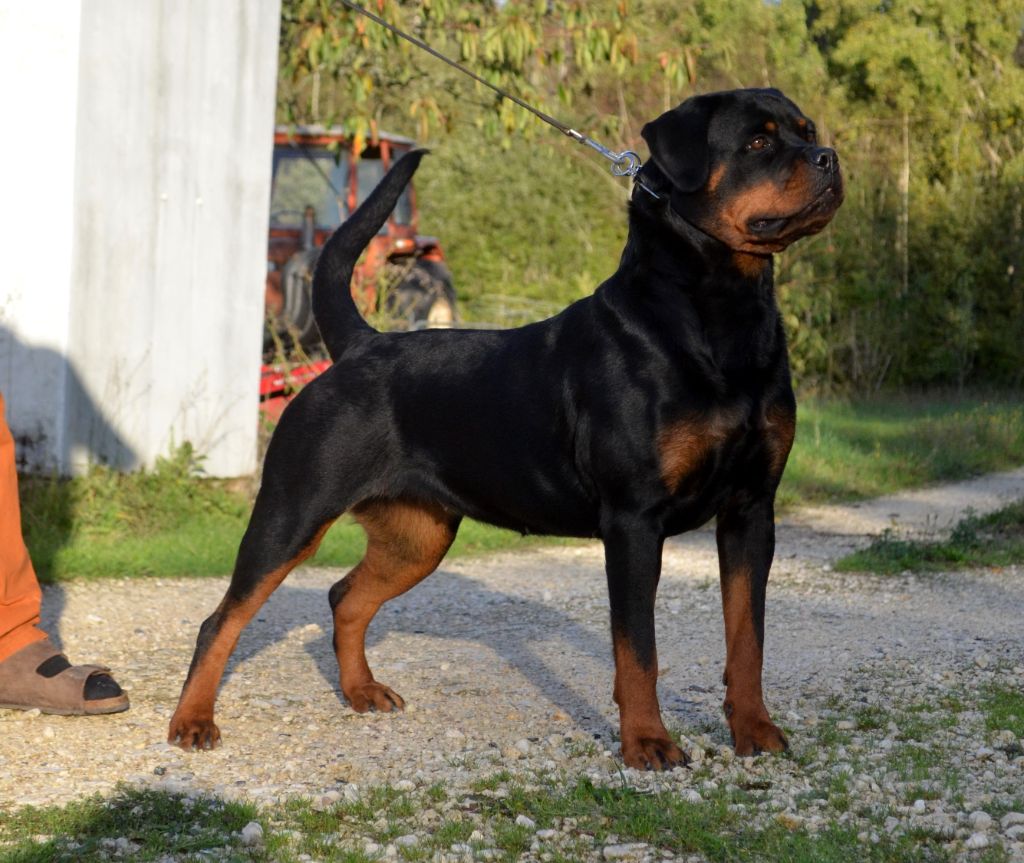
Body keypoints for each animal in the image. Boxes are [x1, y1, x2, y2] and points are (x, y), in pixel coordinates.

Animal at [169, 87, 839, 769]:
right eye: (758, 142)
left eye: (806, 131)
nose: (829, 157)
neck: (718, 314)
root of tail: (360, 345)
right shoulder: (633, 520)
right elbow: (638, 652)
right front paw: (648, 742)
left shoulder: (751, 510)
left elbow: (747, 639)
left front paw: (755, 731)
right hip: (293, 511)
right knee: (222, 619)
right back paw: (193, 721)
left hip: (419, 534)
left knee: (345, 597)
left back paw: (361, 692)